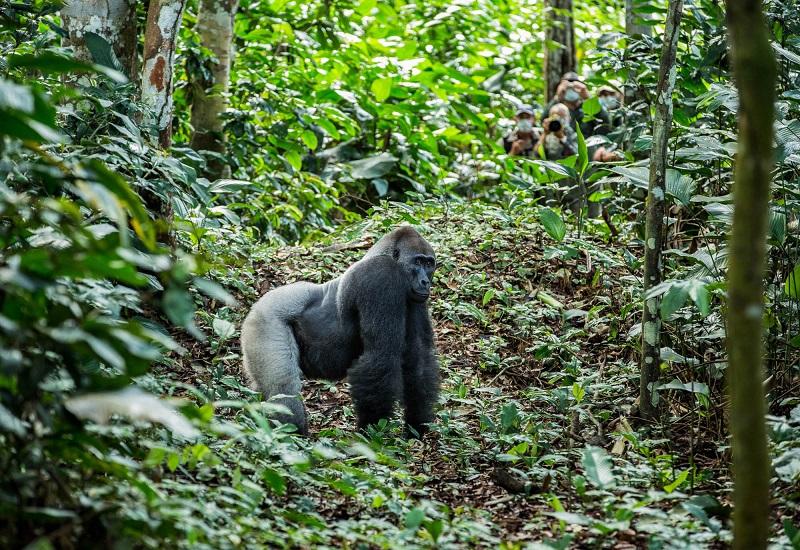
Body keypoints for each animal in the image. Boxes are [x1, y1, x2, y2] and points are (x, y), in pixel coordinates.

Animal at [241, 226, 440, 438]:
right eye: (418, 262)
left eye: (429, 264)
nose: (425, 282)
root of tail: (256, 306)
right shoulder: (380, 277)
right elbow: (380, 357)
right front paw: (371, 432)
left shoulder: (414, 298)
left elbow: (418, 358)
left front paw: (416, 425)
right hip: (265, 321)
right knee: (283, 388)